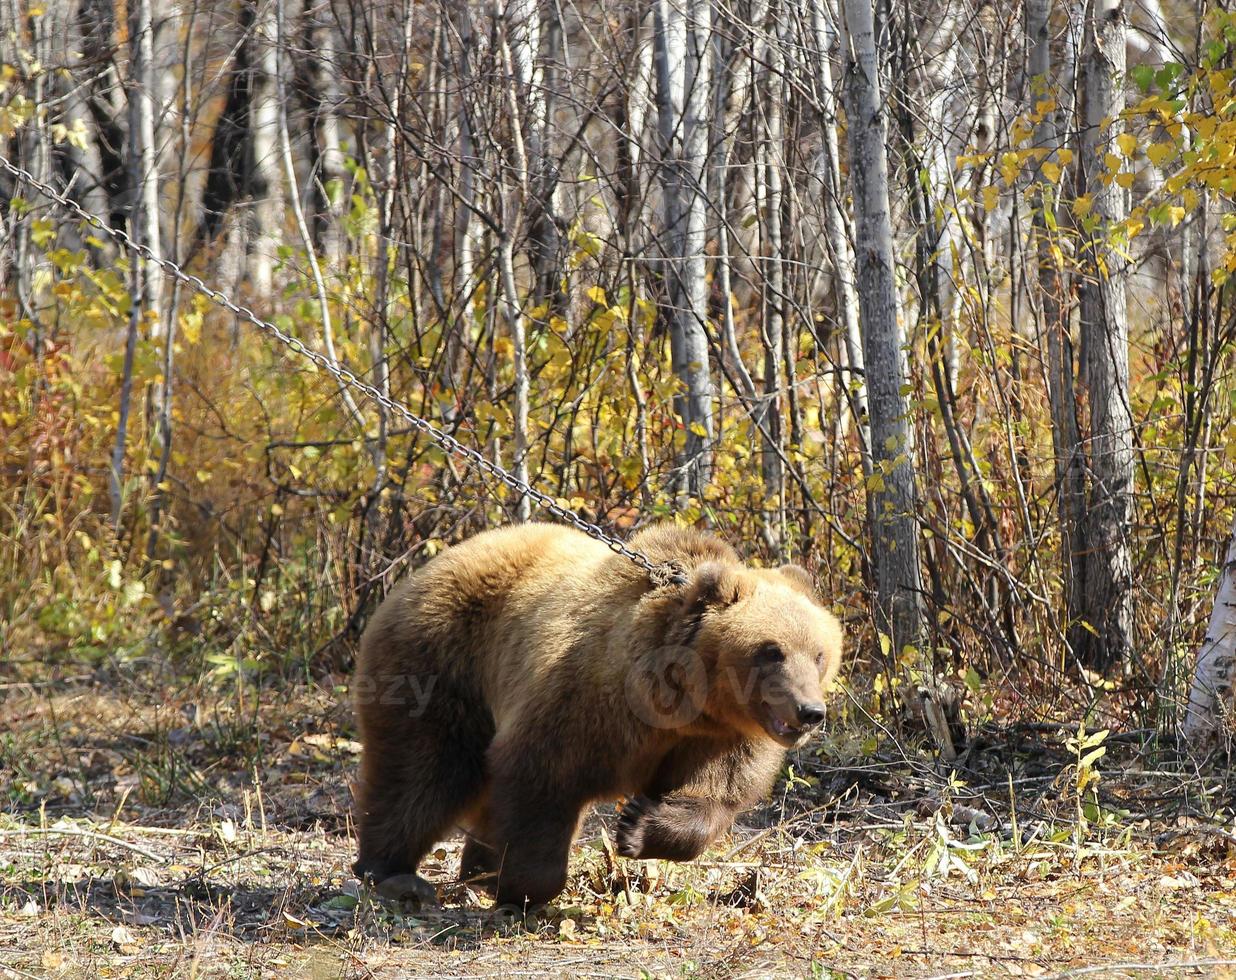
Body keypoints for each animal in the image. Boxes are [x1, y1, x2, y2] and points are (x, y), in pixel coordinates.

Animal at [353, 523, 845, 904]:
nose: (809, 711)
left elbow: (714, 793)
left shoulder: (716, 736)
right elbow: (543, 775)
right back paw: (392, 873)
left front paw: (636, 826)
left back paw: (475, 867)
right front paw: (523, 887)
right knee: (424, 771)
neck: (678, 701)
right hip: (443, 666)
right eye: (771, 650)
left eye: (819, 653)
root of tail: (423, 570)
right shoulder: (587, 702)